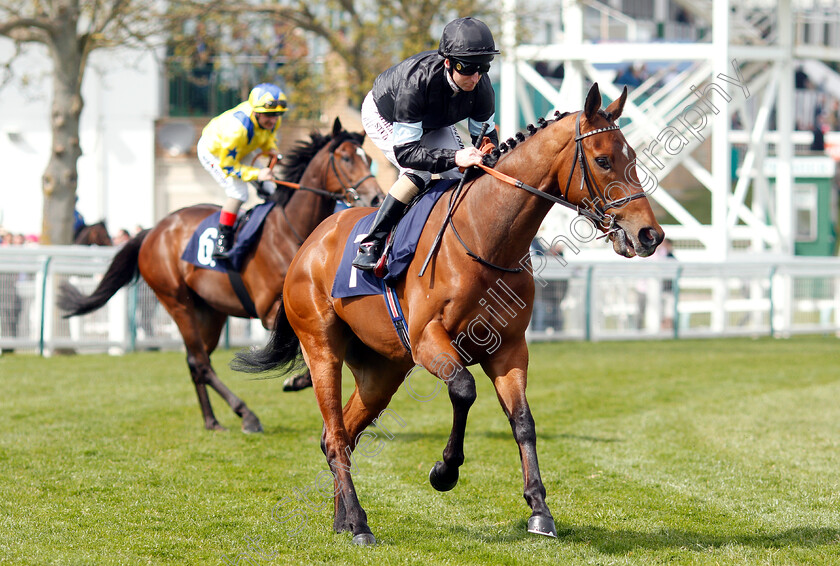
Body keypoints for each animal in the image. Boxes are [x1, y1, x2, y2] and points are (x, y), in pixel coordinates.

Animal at [58, 116, 384, 434]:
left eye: (368, 158)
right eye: (345, 157)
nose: (376, 196)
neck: (289, 230)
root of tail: (154, 230)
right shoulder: (273, 310)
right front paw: (298, 380)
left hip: (210, 311)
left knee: (195, 361)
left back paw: (212, 420)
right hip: (177, 301)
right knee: (201, 362)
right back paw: (246, 415)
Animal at [233, 84, 668, 544]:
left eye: (632, 156)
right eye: (603, 160)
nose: (649, 235)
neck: (485, 238)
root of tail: (309, 244)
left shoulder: (509, 349)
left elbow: (523, 421)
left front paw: (540, 511)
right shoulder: (429, 341)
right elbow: (463, 390)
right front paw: (444, 471)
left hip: (381, 371)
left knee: (343, 435)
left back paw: (344, 518)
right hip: (322, 350)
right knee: (334, 435)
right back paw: (360, 524)